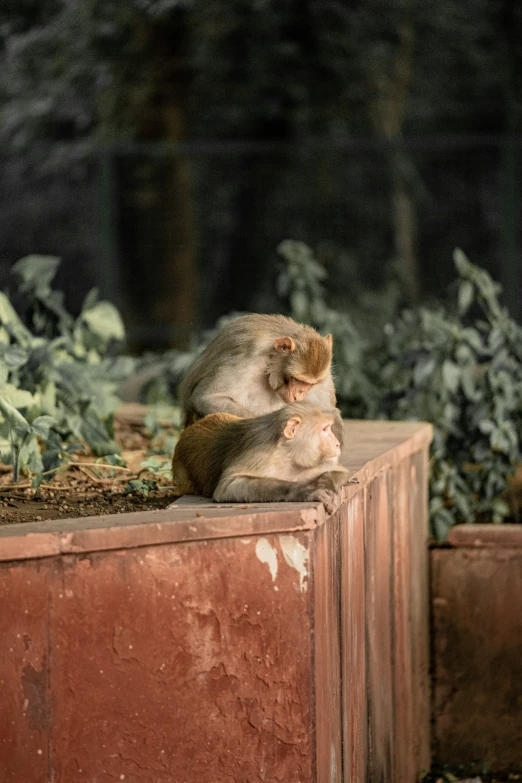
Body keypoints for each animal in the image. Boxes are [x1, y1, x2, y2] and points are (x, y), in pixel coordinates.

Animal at [171, 404, 358, 516]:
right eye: (325, 429)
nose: (336, 444)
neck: (288, 456)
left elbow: (338, 471)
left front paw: (326, 485)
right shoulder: (261, 454)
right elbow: (228, 486)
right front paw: (305, 491)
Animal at [177, 314, 344, 448]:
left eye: (309, 384)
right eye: (296, 379)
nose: (299, 394)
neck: (270, 364)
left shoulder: (325, 376)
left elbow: (330, 414)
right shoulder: (248, 361)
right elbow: (205, 398)